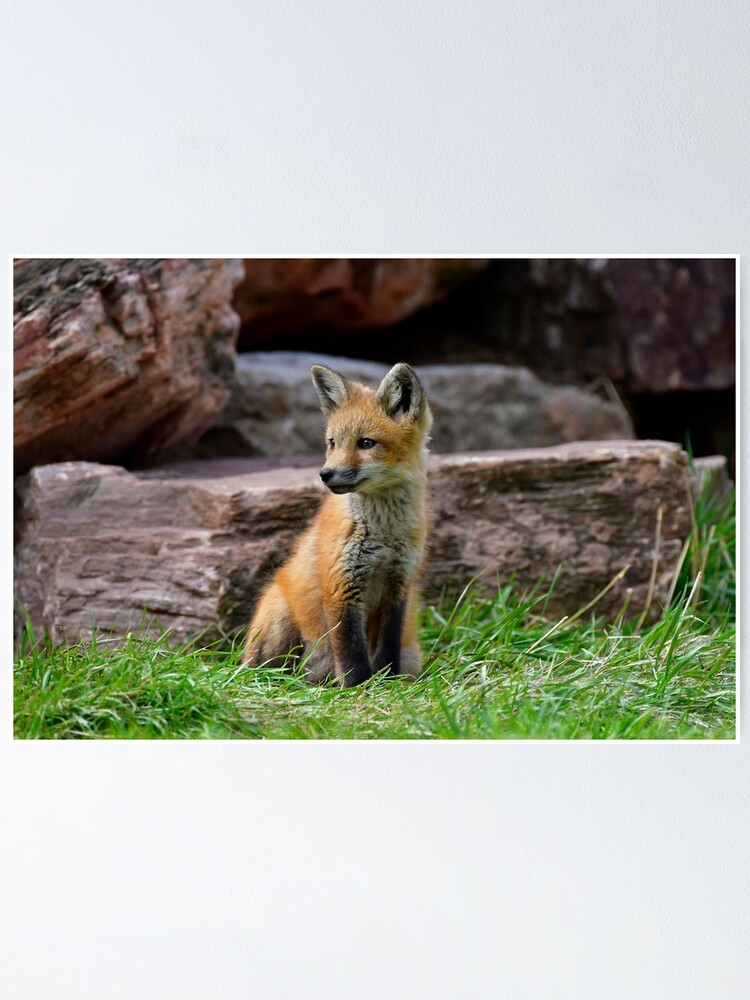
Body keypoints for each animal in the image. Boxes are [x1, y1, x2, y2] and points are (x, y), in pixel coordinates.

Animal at [243, 361, 433, 687]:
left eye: (366, 443)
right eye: (332, 443)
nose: (325, 474)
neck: (383, 535)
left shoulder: (398, 587)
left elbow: (386, 650)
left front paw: (386, 685)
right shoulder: (341, 586)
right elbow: (352, 654)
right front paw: (360, 689)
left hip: (411, 655)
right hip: (279, 619)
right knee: (266, 668)